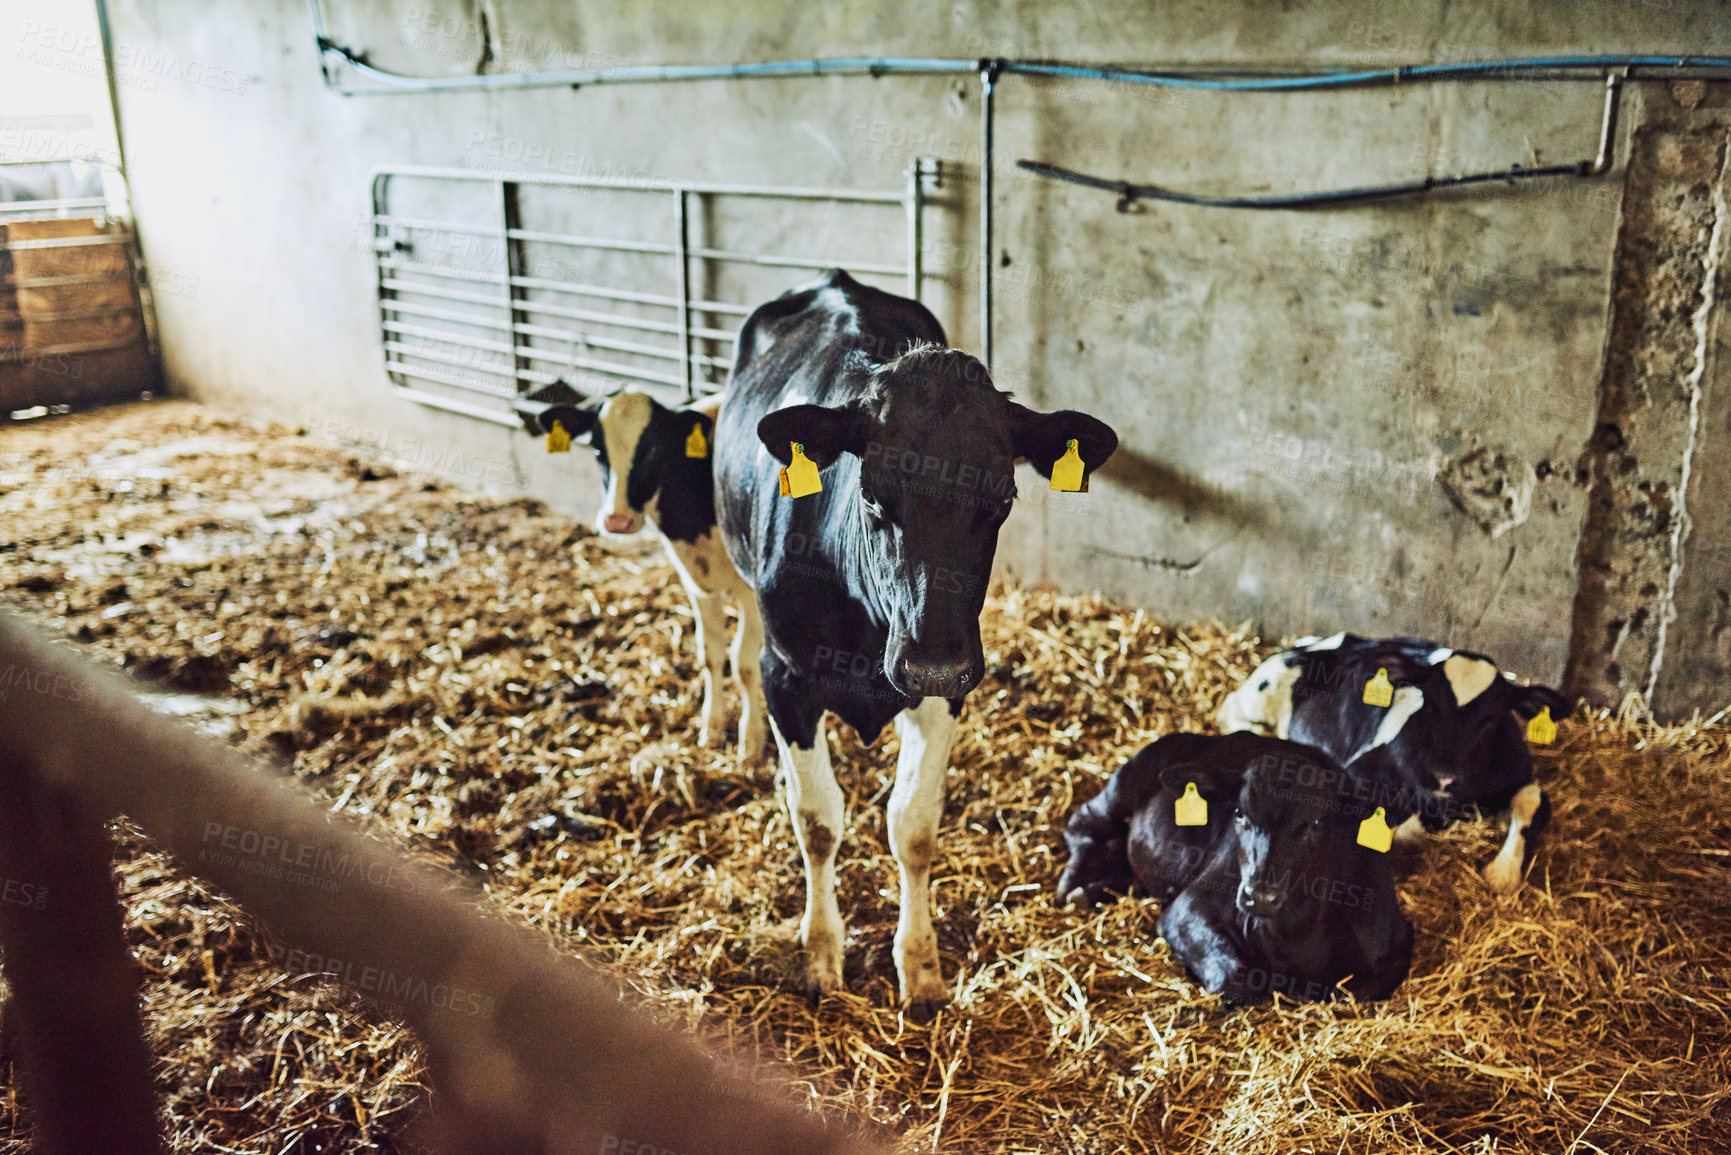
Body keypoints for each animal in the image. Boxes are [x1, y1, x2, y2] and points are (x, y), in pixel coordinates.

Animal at [515, 377, 768, 768]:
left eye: (654, 451)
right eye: (598, 451)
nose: (616, 520)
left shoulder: (750, 591)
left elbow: (743, 663)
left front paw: (751, 740)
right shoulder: (695, 581)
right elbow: (710, 654)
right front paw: (712, 726)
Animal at [716, 271, 1121, 1011]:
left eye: (1002, 500)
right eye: (874, 495)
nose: (932, 660)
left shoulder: (949, 689)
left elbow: (914, 824)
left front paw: (921, 966)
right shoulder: (789, 676)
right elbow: (817, 819)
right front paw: (821, 954)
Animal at [1218, 633, 1571, 893]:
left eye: (1492, 719)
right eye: (1429, 705)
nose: (1442, 776)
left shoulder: (1518, 774)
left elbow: (1531, 800)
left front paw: (1503, 873)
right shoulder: (1358, 771)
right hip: (1262, 690)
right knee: (1229, 712)